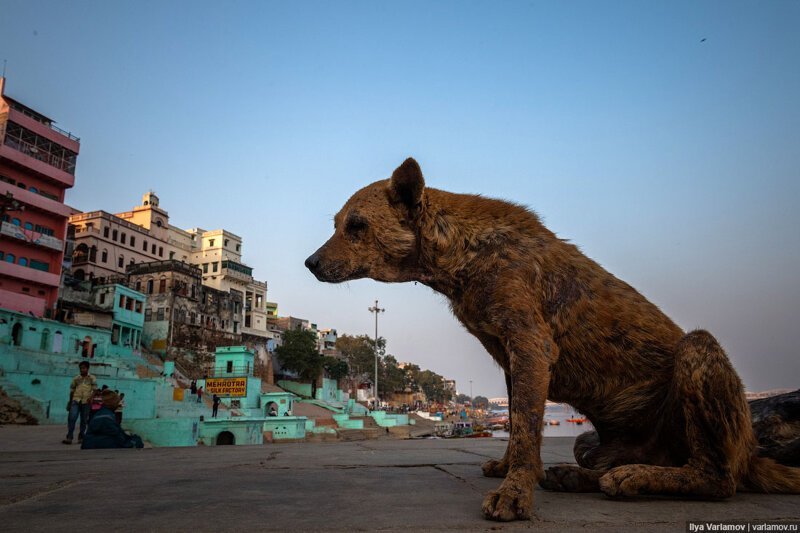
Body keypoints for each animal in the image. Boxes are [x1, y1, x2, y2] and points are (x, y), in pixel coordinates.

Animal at [302, 157, 800, 520]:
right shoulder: (510, 358)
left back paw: (634, 478)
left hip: (698, 351)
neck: (465, 250)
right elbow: (519, 423)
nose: (309, 263)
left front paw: (514, 493)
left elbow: (525, 429)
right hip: (594, 443)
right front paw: (509, 470)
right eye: (336, 223)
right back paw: (581, 476)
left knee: (717, 478)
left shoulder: (530, 346)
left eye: (357, 225)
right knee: (615, 461)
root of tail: (751, 456)